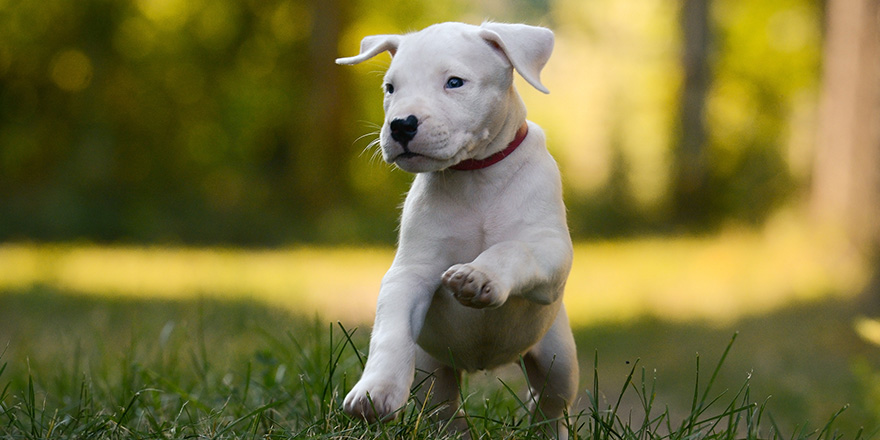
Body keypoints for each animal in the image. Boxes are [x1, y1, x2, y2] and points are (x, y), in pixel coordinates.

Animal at [336, 22, 576, 438]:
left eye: (454, 82)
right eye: (390, 88)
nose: (401, 125)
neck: (476, 177)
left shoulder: (550, 251)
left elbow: (513, 249)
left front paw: (478, 276)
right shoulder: (410, 272)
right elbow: (390, 329)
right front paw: (374, 391)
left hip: (558, 357)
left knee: (551, 404)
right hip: (431, 370)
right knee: (444, 409)